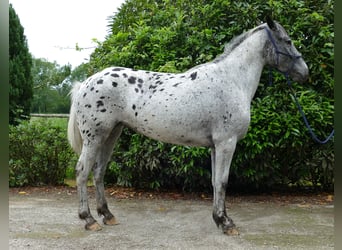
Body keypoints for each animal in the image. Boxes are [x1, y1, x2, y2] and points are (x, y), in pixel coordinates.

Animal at [67, 17, 308, 234]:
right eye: (287, 41)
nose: (305, 72)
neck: (231, 80)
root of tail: (85, 83)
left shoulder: (215, 146)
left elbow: (215, 181)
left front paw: (219, 218)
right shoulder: (226, 143)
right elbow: (223, 181)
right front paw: (226, 223)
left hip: (111, 134)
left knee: (98, 171)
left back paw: (107, 215)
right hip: (95, 137)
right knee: (82, 171)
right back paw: (89, 219)